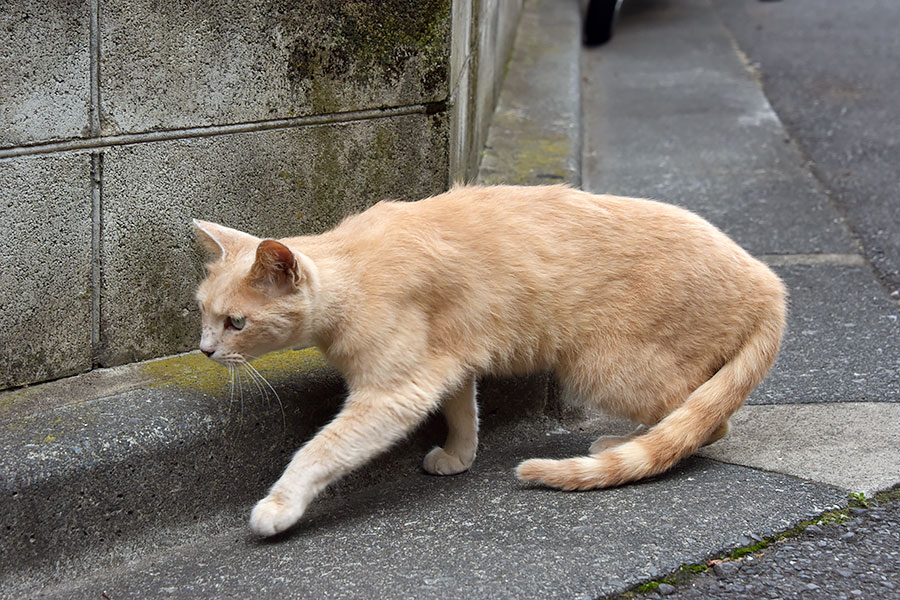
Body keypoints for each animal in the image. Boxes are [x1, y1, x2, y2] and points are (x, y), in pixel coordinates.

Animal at [193, 185, 784, 536]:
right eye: (202, 312)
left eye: (236, 323)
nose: (204, 350)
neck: (352, 271)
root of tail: (768, 279)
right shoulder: (445, 364)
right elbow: (462, 413)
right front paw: (460, 456)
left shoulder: (394, 392)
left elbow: (319, 451)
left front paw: (279, 506)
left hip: (605, 369)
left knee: (705, 420)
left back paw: (625, 443)